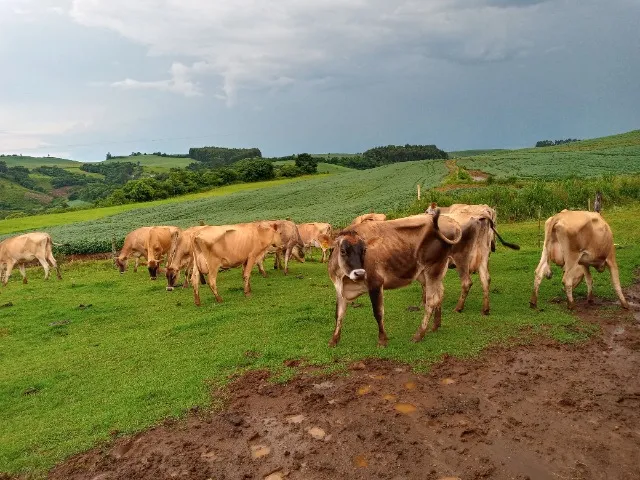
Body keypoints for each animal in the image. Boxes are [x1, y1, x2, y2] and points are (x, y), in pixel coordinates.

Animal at [327, 210, 462, 347]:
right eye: (343, 251)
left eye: (364, 250)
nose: (359, 273)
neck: (344, 278)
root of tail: (450, 221)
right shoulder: (339, 289)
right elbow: (338, 314)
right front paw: (334, 340)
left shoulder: (375, 283)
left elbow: (378, 313)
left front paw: (382, 340)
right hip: (428, 274)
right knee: (440, 294)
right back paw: (435, 326)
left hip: (433, 269)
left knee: (431, 301)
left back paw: (419, 334)